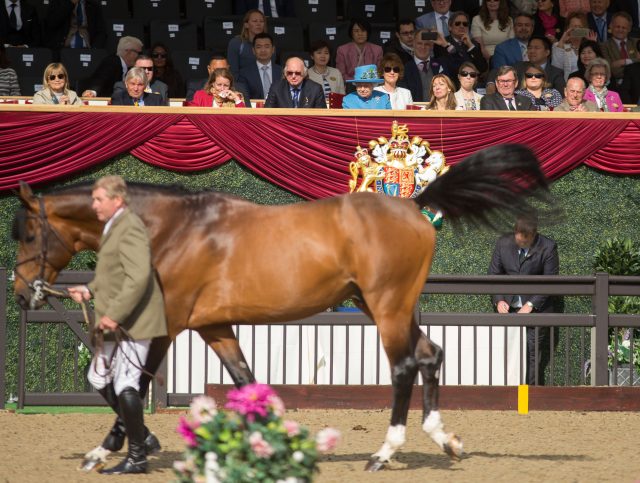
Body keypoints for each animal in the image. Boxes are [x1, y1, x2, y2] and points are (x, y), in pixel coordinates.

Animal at [12, 144, 548, 472]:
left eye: (30, 234)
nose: (21, 293)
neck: (175, 228)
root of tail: (414, 204)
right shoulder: (214, 326)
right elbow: (246, 380)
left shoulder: (168, 322)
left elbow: (131, 387)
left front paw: (117, 452)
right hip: (381, 305)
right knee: (430, 355)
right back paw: (444, 440)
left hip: (388, 306)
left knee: (403, 367)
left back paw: (383, 452)